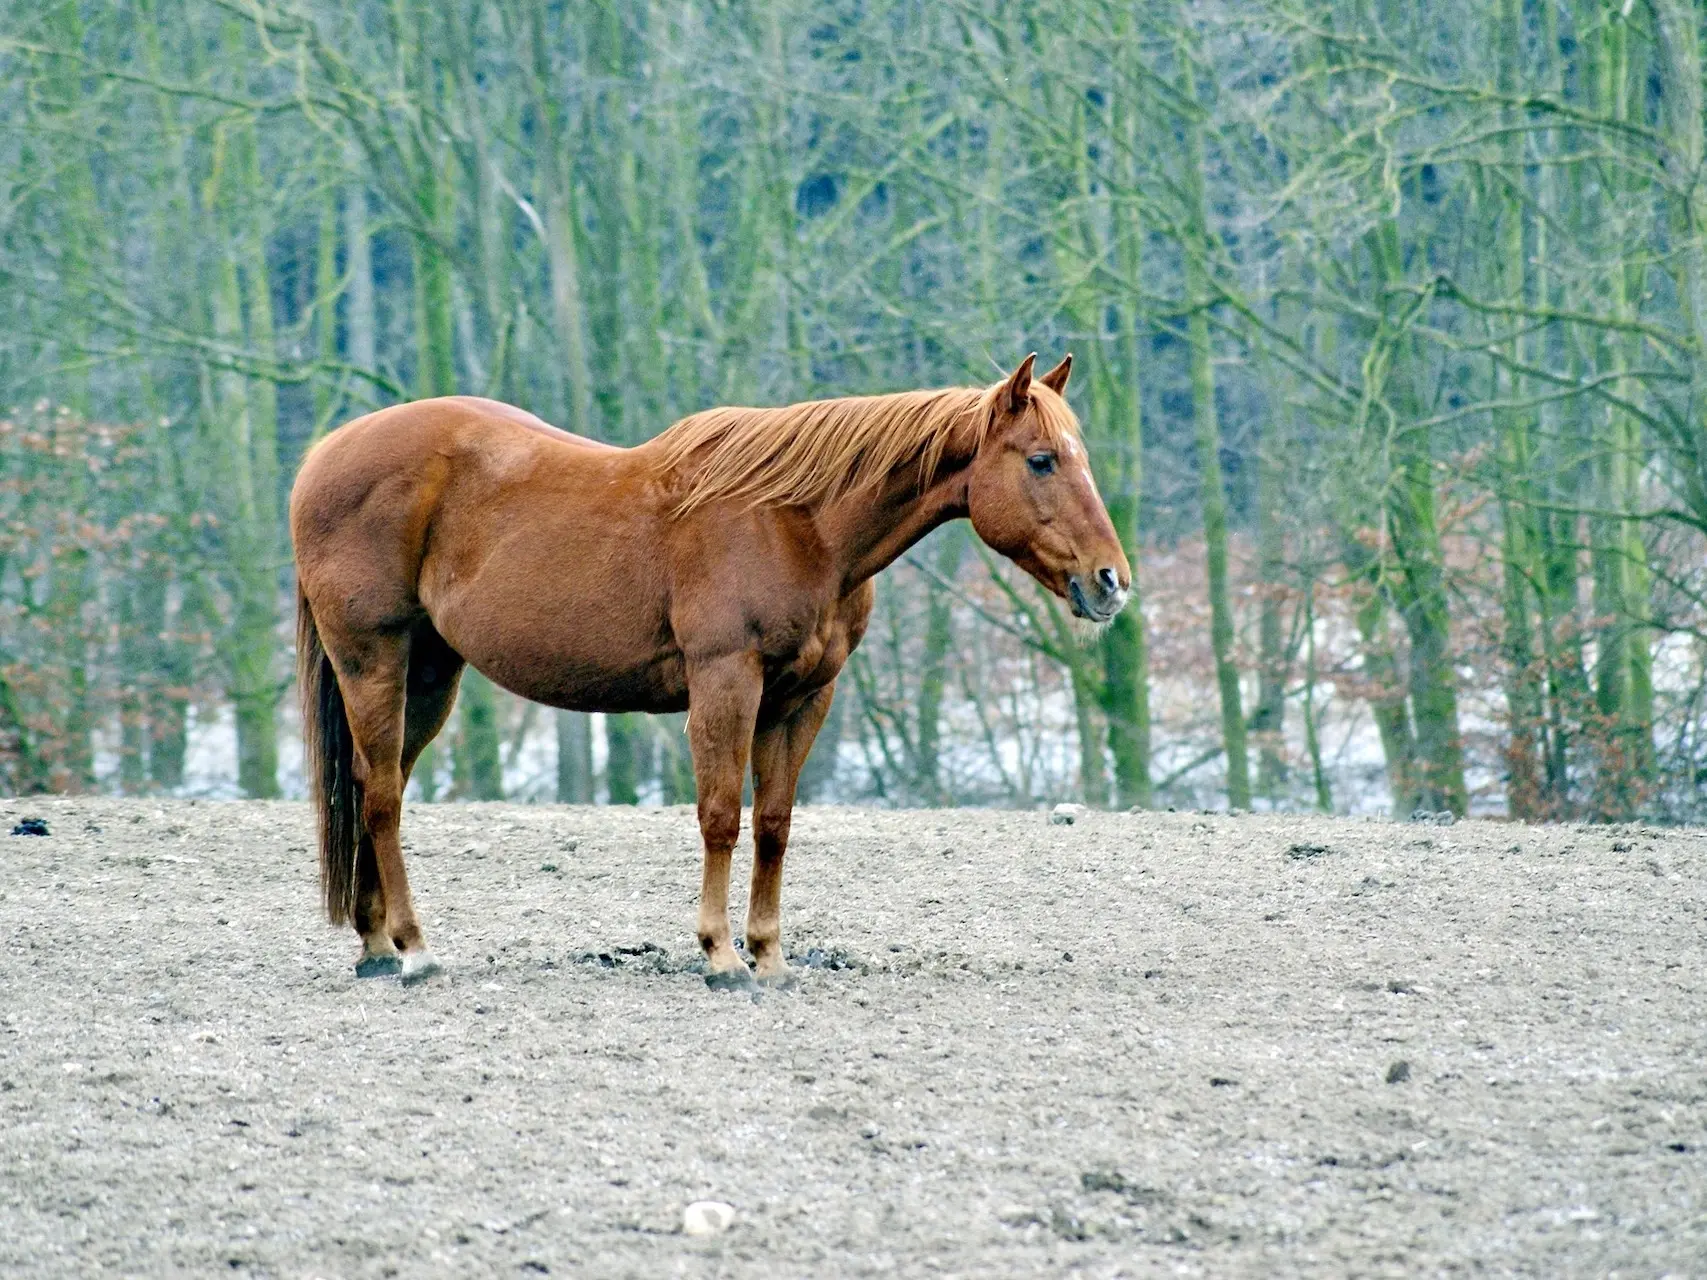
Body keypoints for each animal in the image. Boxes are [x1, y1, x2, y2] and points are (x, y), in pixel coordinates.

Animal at [288, 356, 1126, 989]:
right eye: (1042, 460)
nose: (1110, 582)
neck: (795, 523)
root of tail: (322, 456)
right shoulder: (727, 682)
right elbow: (721, 815)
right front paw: (720, 956)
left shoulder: (802, 699)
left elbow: (774, 824)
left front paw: (770, 956)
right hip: (373, 657)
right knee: (384, 794)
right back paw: (414, 949)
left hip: (431, 671)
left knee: (376, 785)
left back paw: (373, 945)